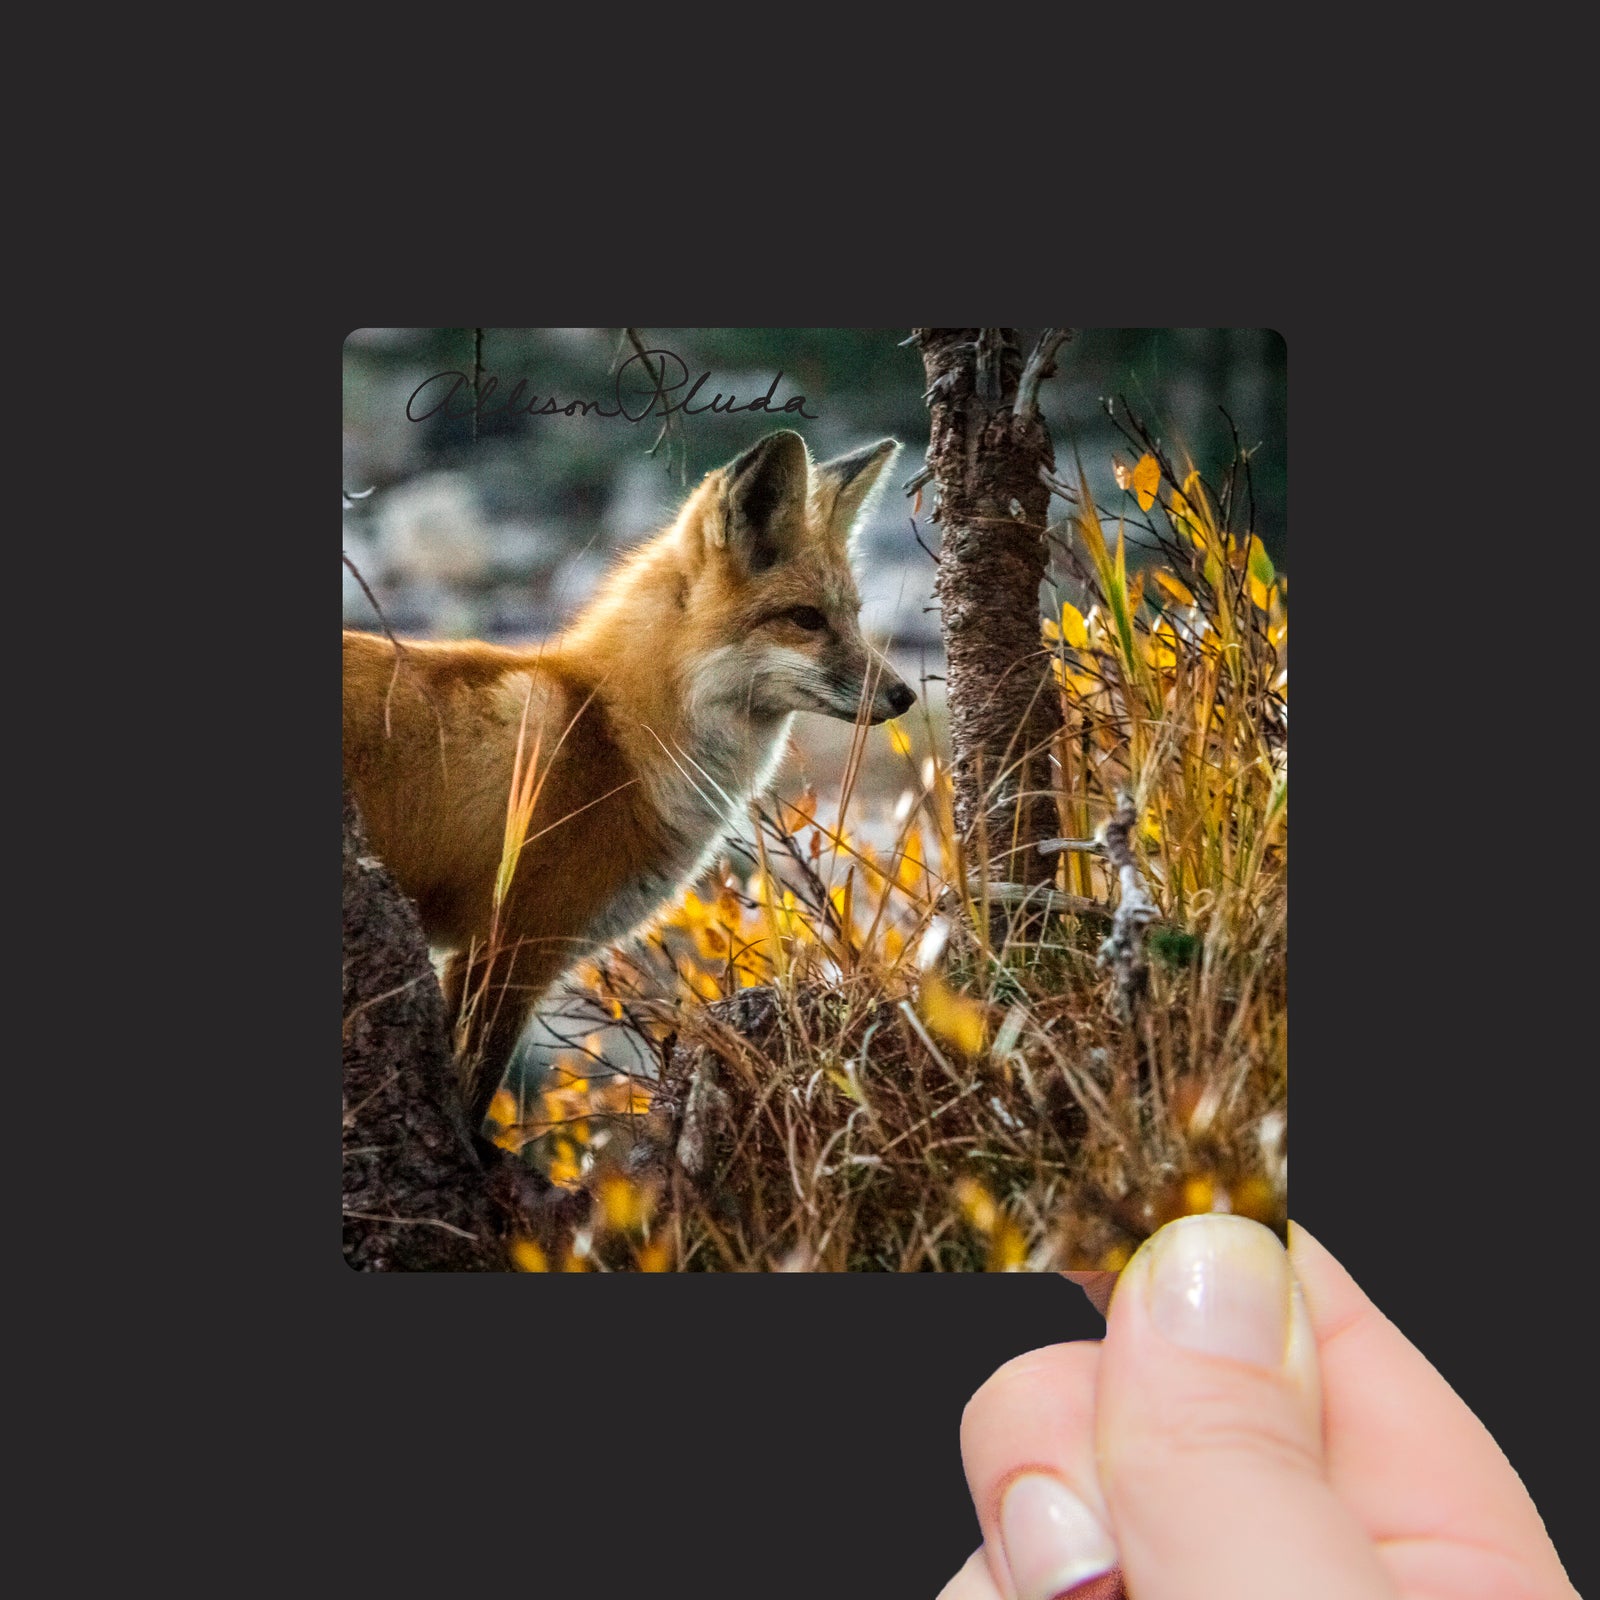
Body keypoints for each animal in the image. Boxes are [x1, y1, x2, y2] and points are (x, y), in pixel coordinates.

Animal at [343, 428, 914, 1136]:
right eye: (806, 618)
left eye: (854, 616)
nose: (905, 695)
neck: (618, 739)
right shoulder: (504, 949)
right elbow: (472, 1096)